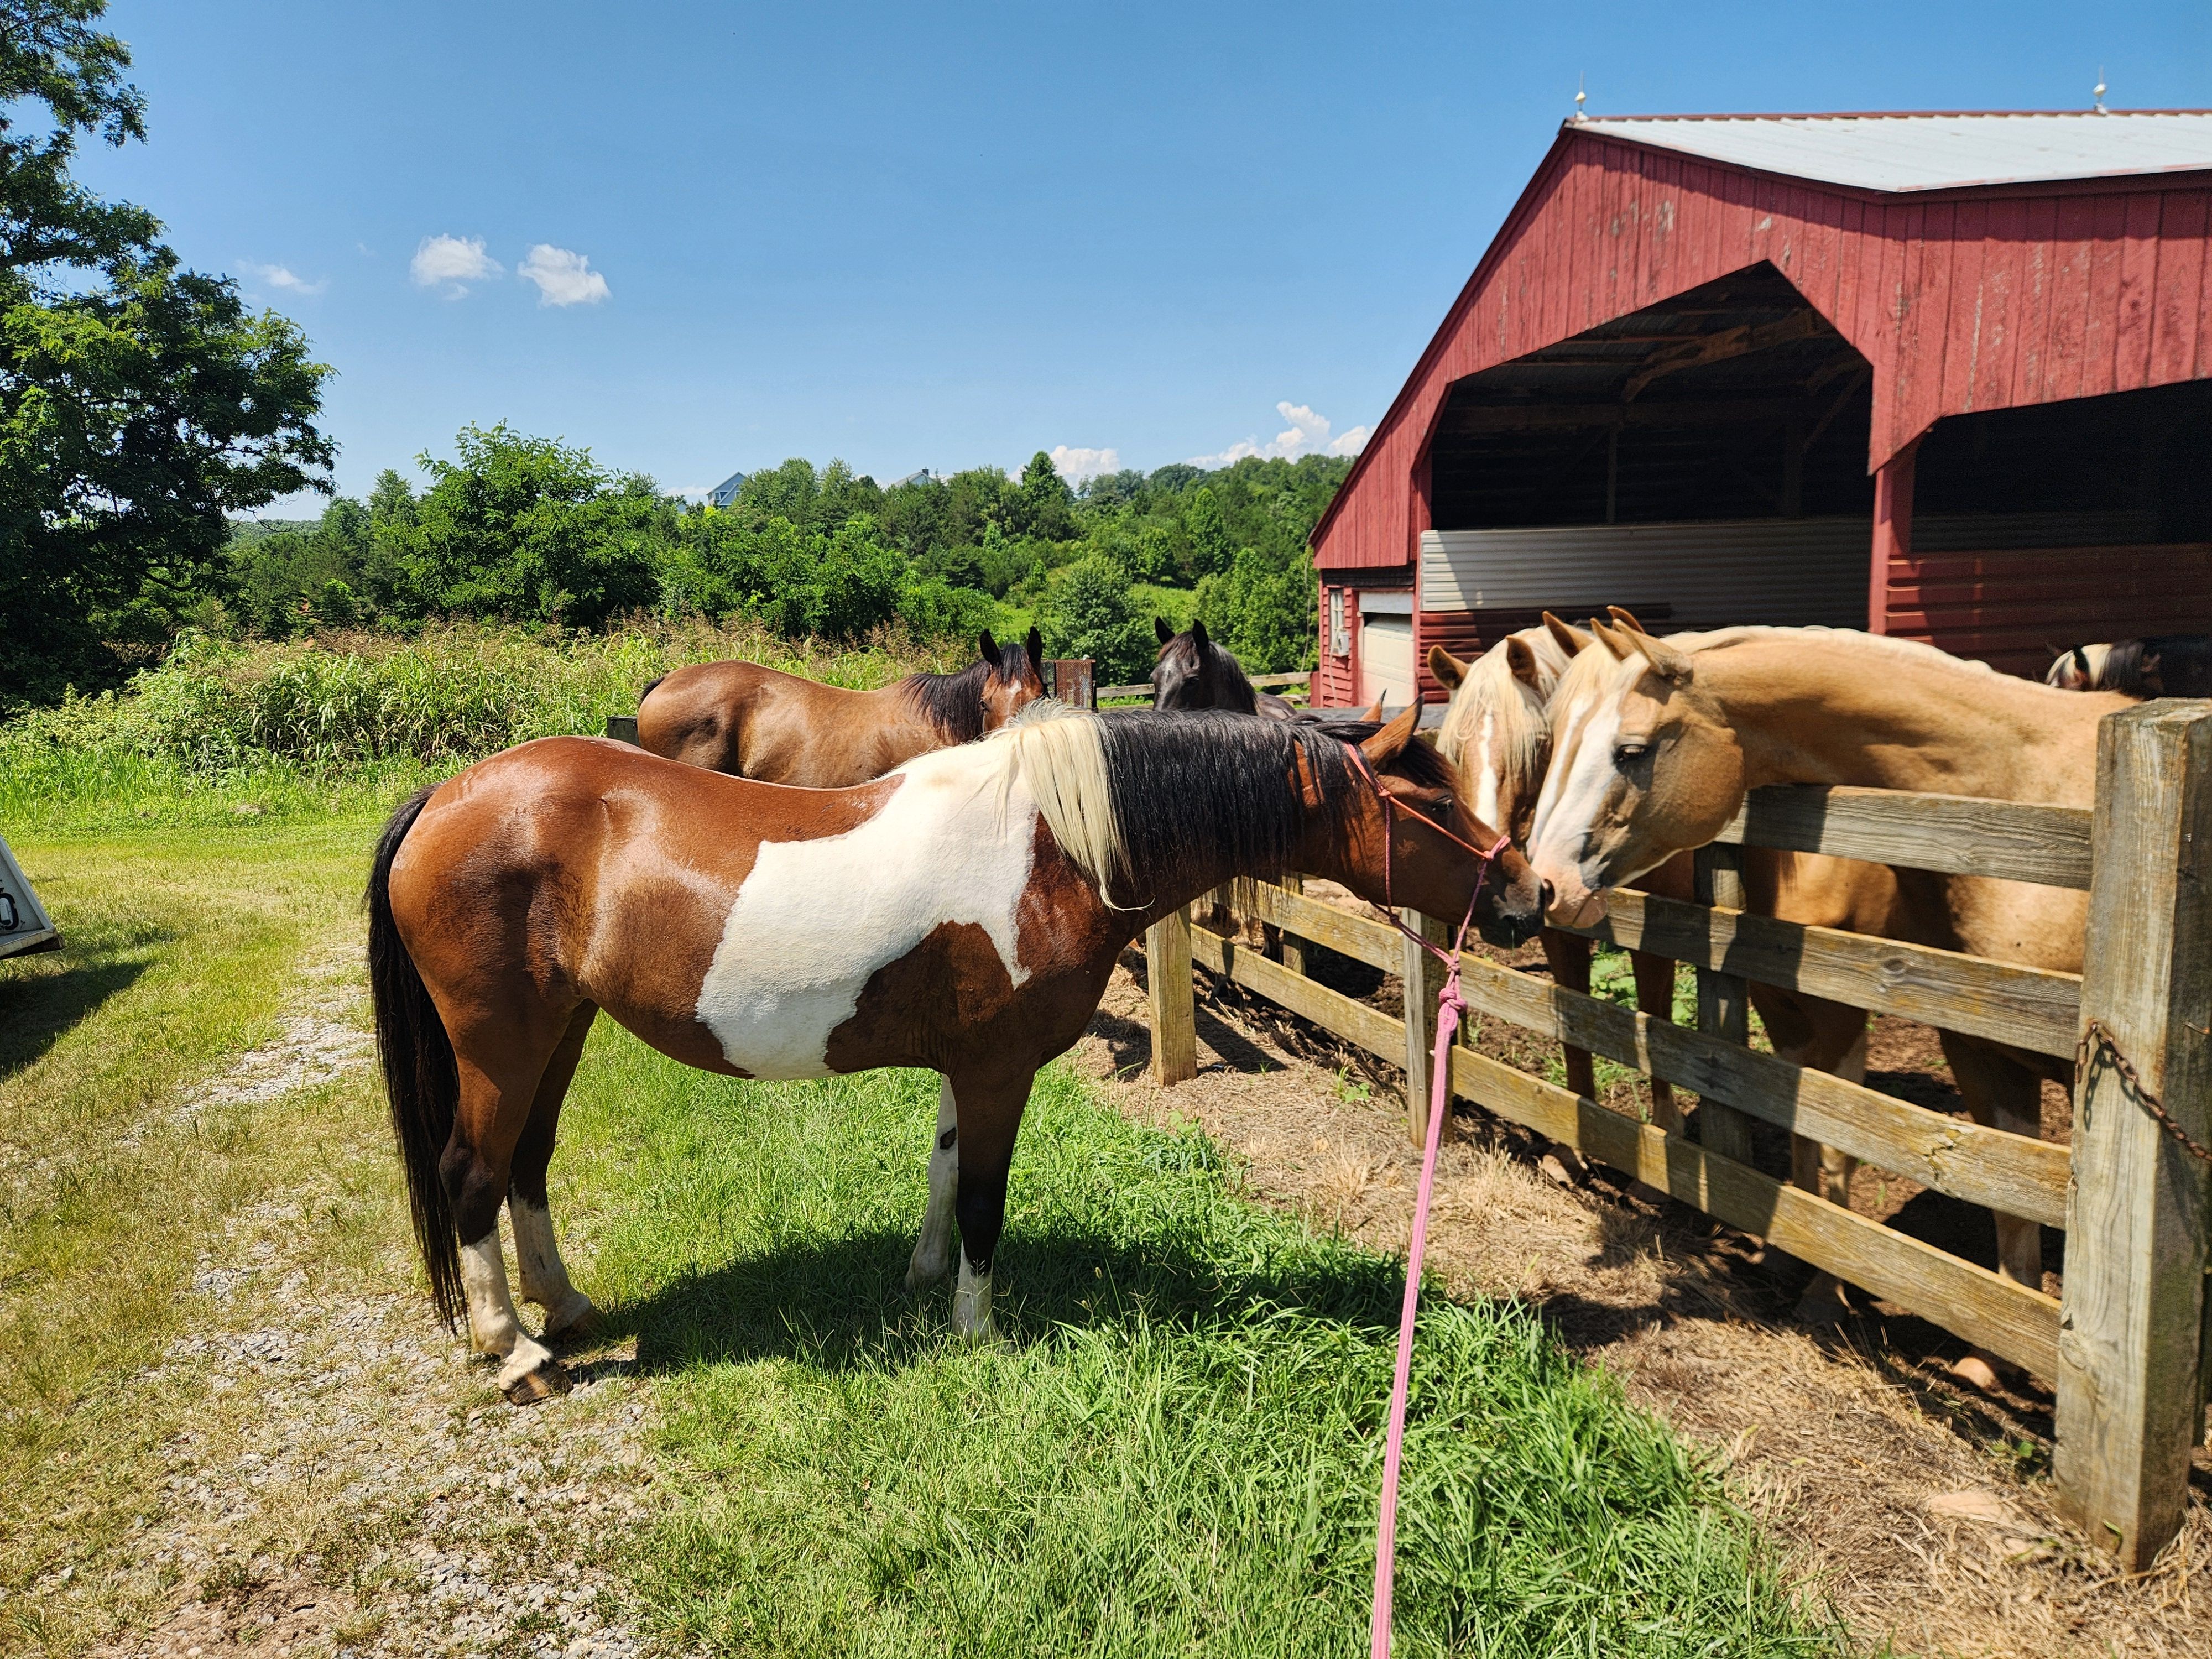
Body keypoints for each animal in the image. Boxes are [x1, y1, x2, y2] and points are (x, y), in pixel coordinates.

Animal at [367, 703, 1547, 1402]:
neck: (1052, 848)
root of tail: (446, 797)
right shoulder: (998, 1072)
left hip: (562, 1031)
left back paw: (562, 1309)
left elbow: (940, 1176)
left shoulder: (964, 1068)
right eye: (1432, 798)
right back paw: (512, 1350)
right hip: (500, 1044)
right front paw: (977, 1331)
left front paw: (923, 1280)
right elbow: (984, 1197)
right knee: (471, 1173)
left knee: (526, 1166)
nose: (1533, 893)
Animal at [1526, 621, 2133, 1379]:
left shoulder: (1854, 1017)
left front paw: (1824, 1296)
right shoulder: (1957, 1043)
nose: (1543, 884)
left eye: (1631, 752)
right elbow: (1992, 1191)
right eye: (1552, 741)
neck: (2021, 798)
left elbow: (1849, 1144)